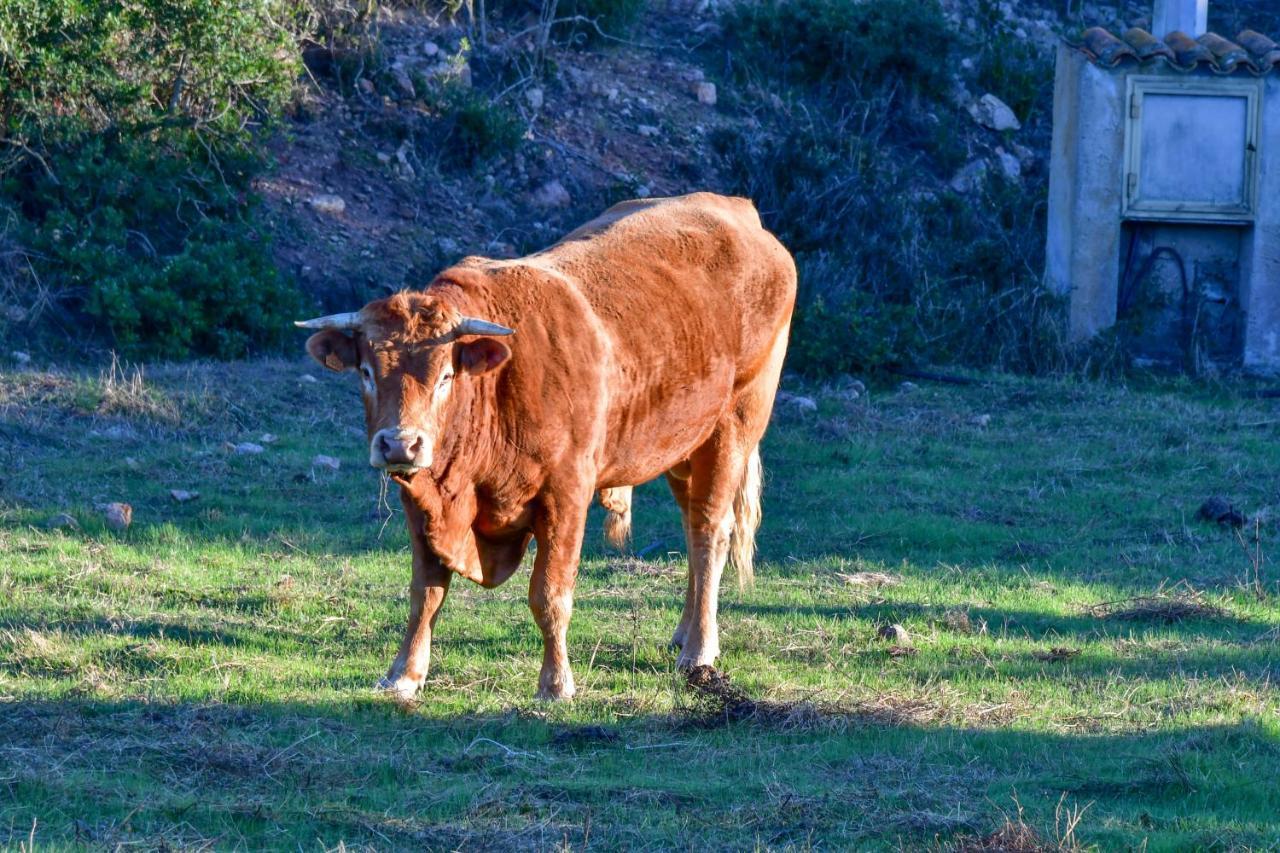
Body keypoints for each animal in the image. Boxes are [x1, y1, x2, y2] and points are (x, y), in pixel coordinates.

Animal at [300, 192, 793, 696]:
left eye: (446, 376)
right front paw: (404, 674)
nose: (400, 445)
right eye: (366, 372)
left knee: (709, 531)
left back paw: (699, 649)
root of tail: (738, 208)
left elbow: (550, 594)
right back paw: (683, 633)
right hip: (682, 445)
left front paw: (556, 683)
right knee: (693, 525)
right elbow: (426, 592)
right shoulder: (423, 503)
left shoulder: (566, 493)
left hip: (732, 427)